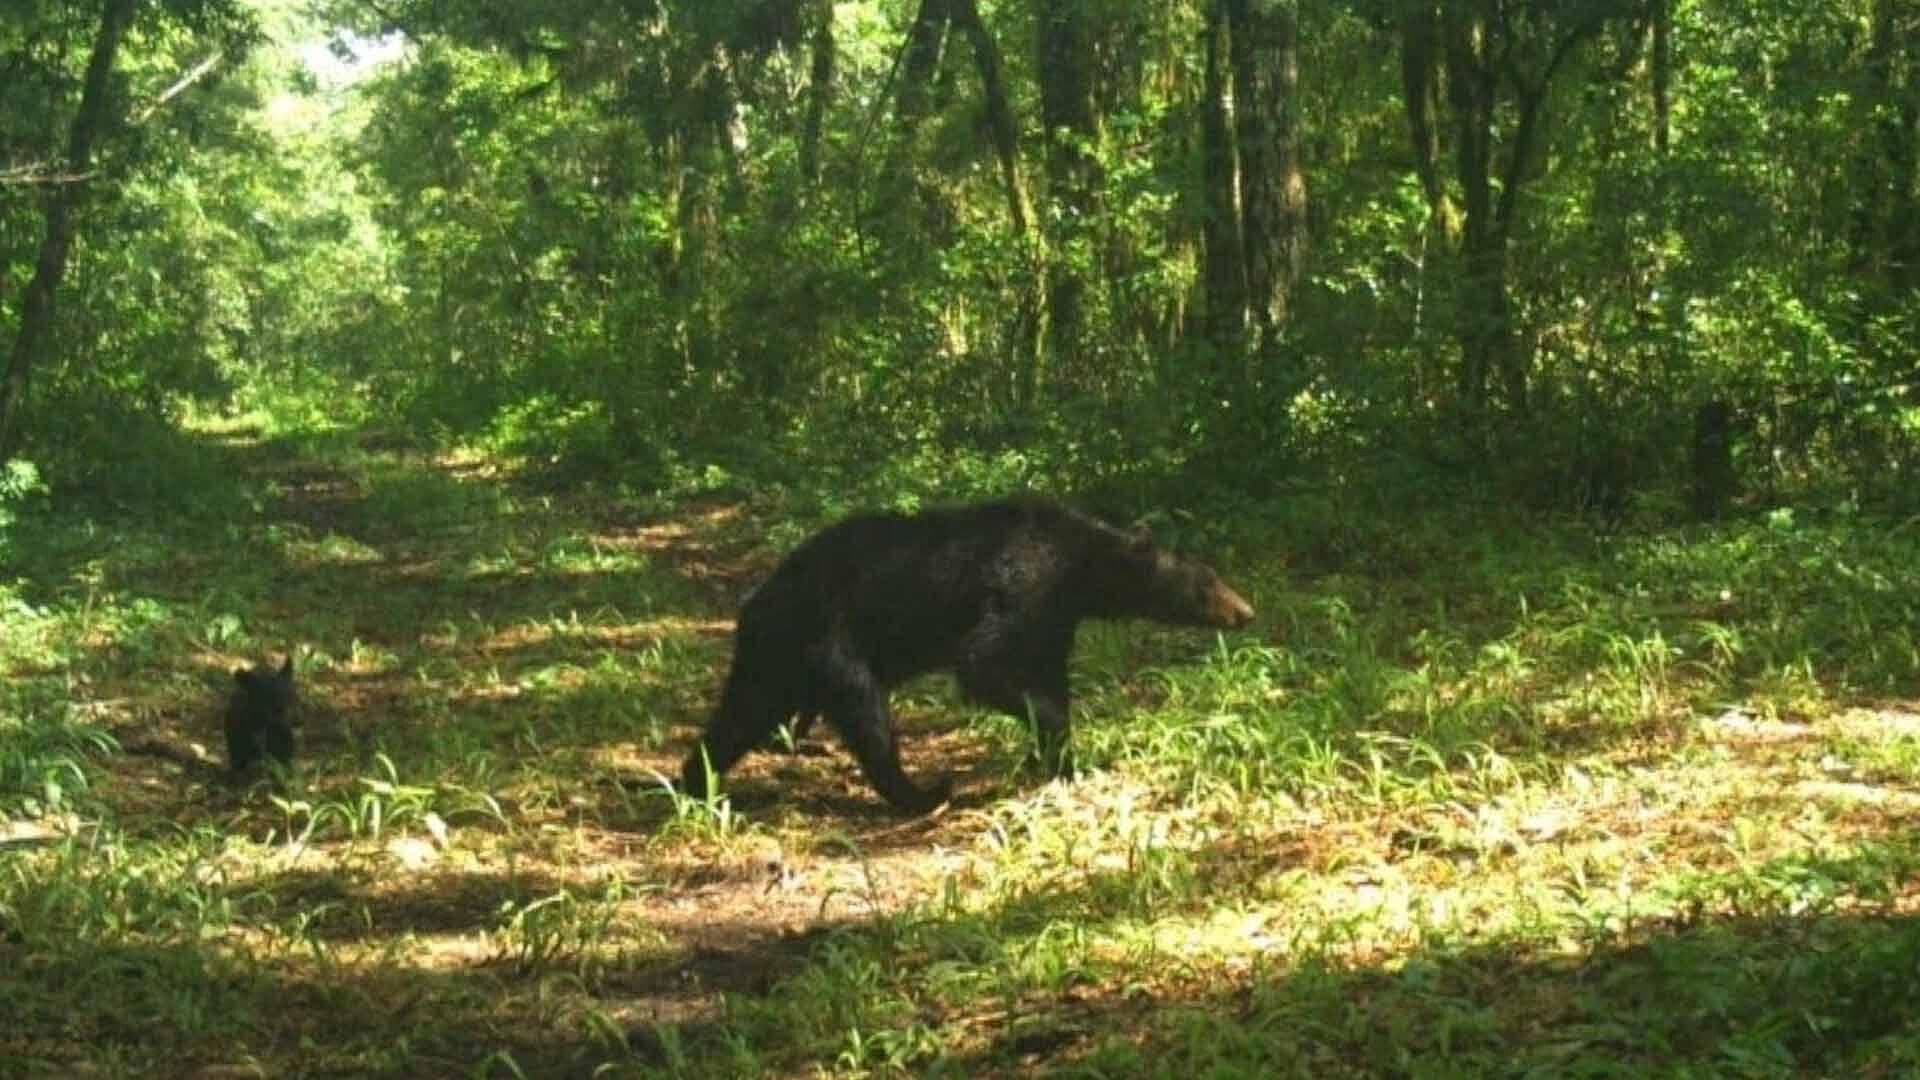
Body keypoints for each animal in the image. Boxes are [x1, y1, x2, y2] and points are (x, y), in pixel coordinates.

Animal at [679, 497, 1255, 814]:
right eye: (1206, 584)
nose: (1246, 611)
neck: (1079, 566)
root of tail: (754, 603)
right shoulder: (1021, 589)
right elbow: (983, 663)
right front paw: (1055, 748)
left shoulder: (1054, 619)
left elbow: (1049, 675)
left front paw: (1056, 758)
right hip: (829, 639)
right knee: (867, 715)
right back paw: (923, 791)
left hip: (776, 659)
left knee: (739, 716)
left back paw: (695, 782)